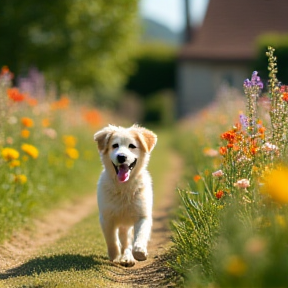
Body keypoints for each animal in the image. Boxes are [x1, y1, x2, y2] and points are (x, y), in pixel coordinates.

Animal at [94, 125, 158, 266]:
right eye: (115, 145)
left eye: (132, 146)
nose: (121, 157)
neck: (124, 186)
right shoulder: (106, 217)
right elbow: (111, 239)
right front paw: (114, 255)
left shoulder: (143, 214)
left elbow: (140, 235)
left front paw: (139, 252)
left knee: (127, 243)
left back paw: (128, 258)